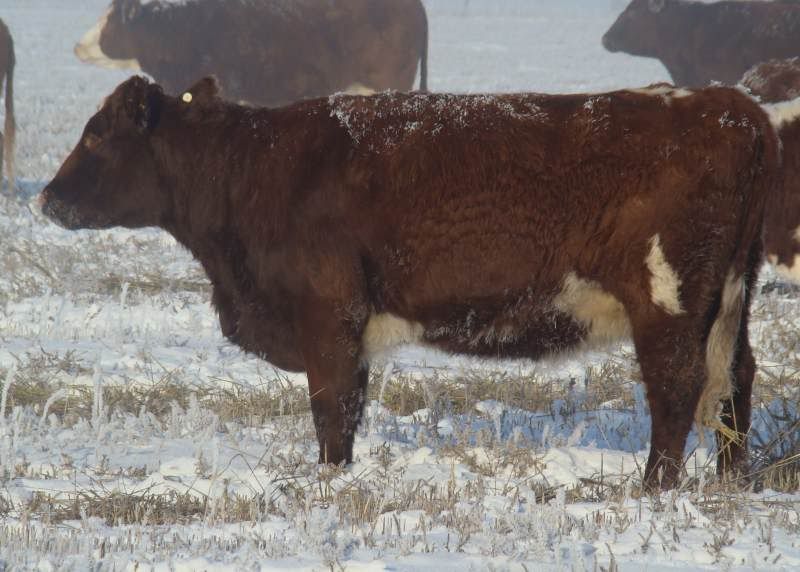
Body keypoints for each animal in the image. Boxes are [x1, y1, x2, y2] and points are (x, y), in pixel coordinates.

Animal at [39, 76, 780, 490]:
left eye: (97, 134)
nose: (46, 198)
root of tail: (729, 106)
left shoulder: (329, 316)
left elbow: (333, 410)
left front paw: (330, 483)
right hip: (728, 300)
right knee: (736, 379)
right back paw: (731, 481)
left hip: (669, 297)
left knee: (678, 385)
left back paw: (654, 487)